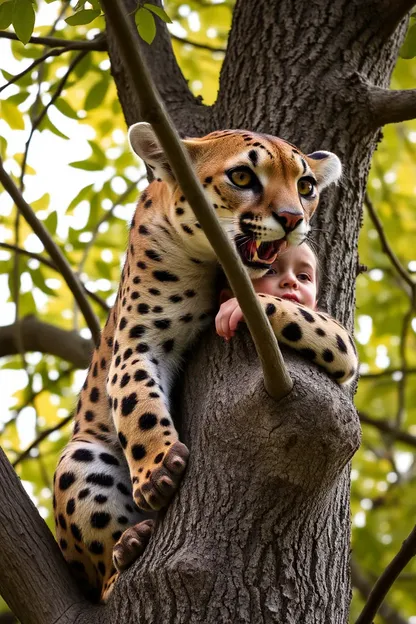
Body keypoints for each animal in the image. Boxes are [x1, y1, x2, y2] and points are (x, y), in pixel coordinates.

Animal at [52, 122, 358, 600]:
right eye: (242, 177)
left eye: (306, 186)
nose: (293, 219)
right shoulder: (138, 338)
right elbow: (137, 400)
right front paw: (159, 470)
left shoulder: (337, 340)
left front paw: (237, 308)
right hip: (79, 459)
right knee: (104, 581)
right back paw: (129, 544)